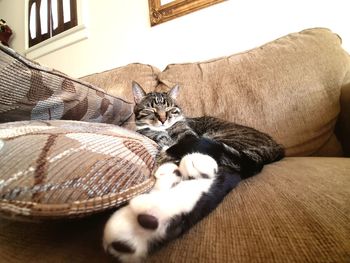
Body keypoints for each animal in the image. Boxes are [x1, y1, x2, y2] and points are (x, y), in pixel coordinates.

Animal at [102, 81, 284, 262]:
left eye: (169, 109)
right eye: (151, 109)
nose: (163, 119)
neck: (165, 132)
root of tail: (275, 146)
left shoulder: (189, 135)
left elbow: (178, 146)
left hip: (225, 139)